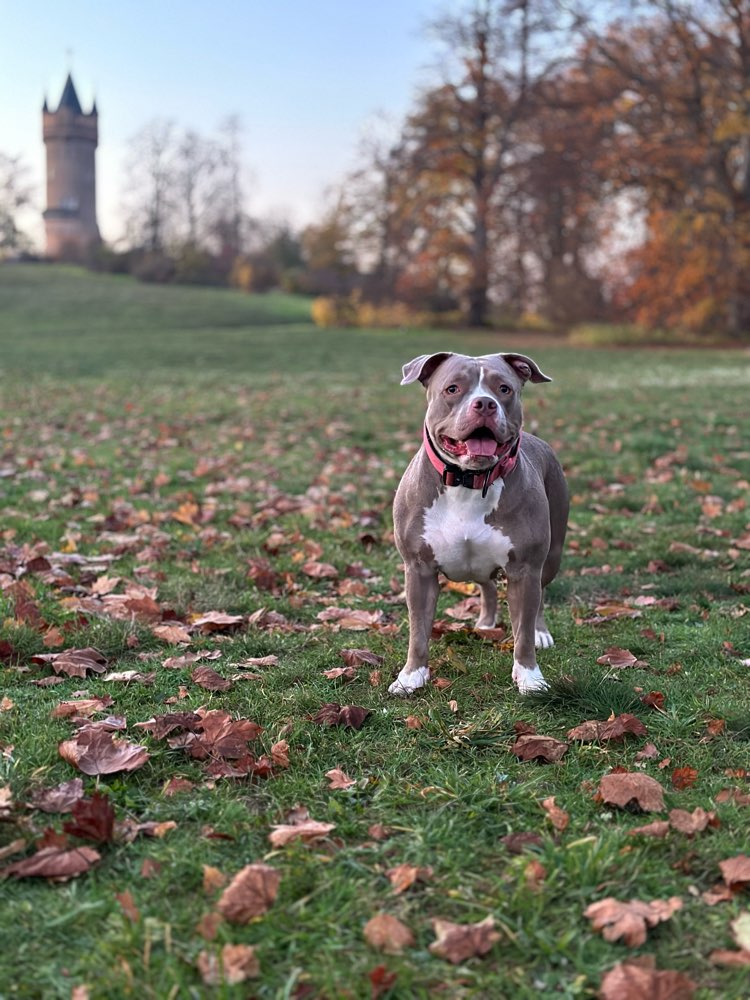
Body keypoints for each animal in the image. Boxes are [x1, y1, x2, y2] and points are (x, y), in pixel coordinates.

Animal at [388, 352, 568, 696]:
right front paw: (410, 676)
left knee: (539, 595)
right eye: (453, 388)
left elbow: (523, 630)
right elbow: (418, 630)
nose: (484, 403)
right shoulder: (418, 569)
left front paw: (530, 677)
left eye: (504, 388)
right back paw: (485, 623)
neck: (468, 480)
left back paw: (541, 632)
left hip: (551, 556)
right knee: (487, 585)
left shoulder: (525, 569)